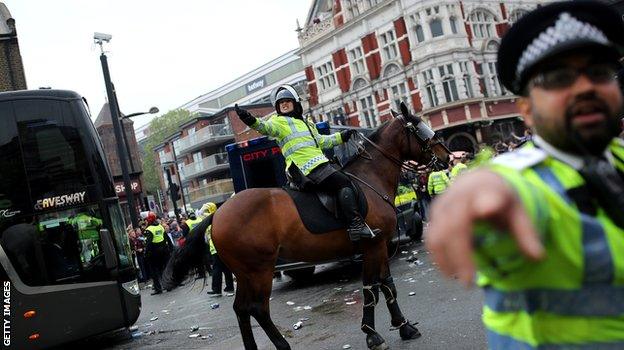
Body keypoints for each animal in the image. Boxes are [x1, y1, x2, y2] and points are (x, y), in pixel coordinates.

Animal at [163, 102, 450, 348]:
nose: (446, 156)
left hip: (245, 272)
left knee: (241, 309)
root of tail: (219, 212)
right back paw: (282, 345)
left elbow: (387, 284)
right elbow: (371, 289)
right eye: (419, 128)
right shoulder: (373, 245)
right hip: (259, 270)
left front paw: (404, 326)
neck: (370, 181)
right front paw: (372, 335)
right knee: (257, 308)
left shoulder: (380, 247)